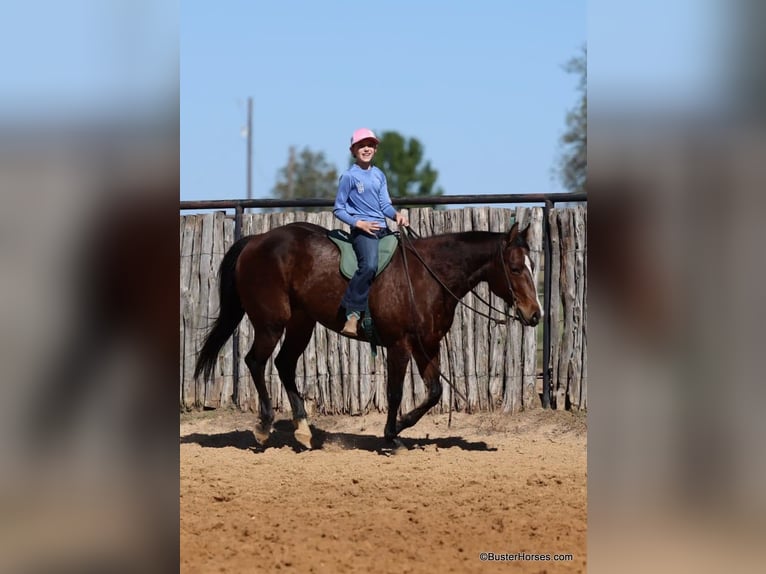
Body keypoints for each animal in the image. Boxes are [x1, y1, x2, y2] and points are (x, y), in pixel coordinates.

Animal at [194, 221, 541, 448]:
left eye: (532, 265)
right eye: (514, 268)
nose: (535, 314)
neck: (429, 276)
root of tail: (256, 241)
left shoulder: (427, 346)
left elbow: (434, 392)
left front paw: (400, 426)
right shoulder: (400, 345)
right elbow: (395, 392)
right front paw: (391, 436)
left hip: (301, 324)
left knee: (284, 365)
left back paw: (303, 430)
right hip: (271, 324)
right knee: (255, 361)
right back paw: (265, 426)